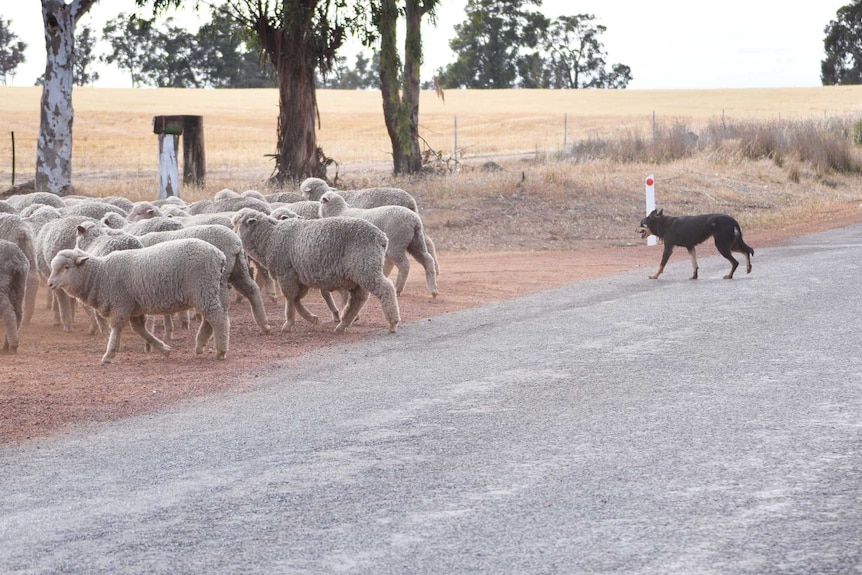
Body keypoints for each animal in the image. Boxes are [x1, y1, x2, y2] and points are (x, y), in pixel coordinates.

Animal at [48, 238, 231, 364]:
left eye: (66, 267)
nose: (50, 284)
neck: (100, 275)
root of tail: (219, 255)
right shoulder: (135, 307)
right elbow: (140, 330)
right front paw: (164, 349)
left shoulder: (121, 304)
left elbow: (116, 328)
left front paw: (108, 355)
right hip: (214, 288)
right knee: (213, 317)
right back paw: (200, 346)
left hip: (203, 287)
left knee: (217, 318)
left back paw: (221, 351)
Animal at [138, 224, 270, 332]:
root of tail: (236, 241)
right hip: (238, 268)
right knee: (251, 289)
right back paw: (264, 324)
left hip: (218, 275)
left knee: (223, 300)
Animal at [231, 208, 404, 332]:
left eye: (237, 223)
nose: (232, 234)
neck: (269, 238)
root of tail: (381, 237)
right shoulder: (299, 276)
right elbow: (296, 299)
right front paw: (311, 318)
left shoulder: (286, 273)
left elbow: (290, 298)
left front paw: (289, 323)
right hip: (359, 272)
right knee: (359, 298)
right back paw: (343, 324)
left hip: (365, 266)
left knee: (385, 288)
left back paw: (392, 322)